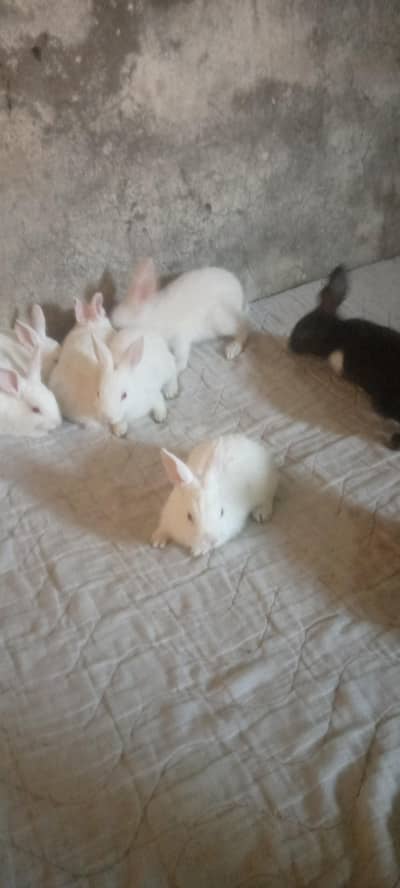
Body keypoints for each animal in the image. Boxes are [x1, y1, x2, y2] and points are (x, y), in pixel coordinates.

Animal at [111, 258, 248, 372]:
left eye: (119, 329)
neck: (152, 319)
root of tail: (239, 291)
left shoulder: (180, 338)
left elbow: (181, 359)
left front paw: (175, 368)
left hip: (220, 320)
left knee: (243, 327)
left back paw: (233, 349)